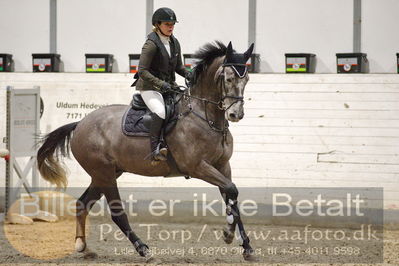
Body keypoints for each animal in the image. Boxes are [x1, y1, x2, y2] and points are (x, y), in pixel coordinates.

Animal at [36, 41, 256, 262]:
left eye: (246, 79)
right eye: (228, 79)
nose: (236, 114)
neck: (205, 117)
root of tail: (80, 124)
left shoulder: (223, 166)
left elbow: (233, 196)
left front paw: (246, 247)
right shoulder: (197, 167)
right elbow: (231, 190)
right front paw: (228, 233)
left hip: (105, 174)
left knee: (83, 204)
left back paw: (82, 246)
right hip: (104, 174)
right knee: (117, 213)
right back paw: (144, 250)